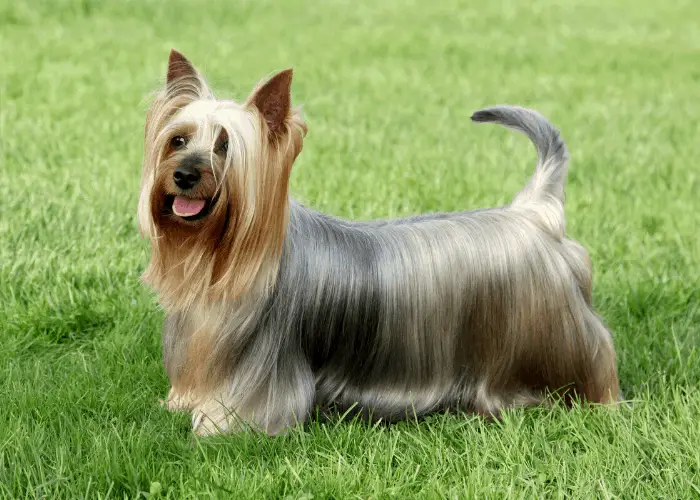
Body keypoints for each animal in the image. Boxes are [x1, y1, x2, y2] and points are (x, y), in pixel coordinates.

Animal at [138, 48, 624, 436]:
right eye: (178, 139)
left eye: (224, 146)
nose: (184, 175)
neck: (221, 253)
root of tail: (534, 212)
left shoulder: (266, 368)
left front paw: (215, 427)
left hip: (555, 333)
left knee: (595, 354)